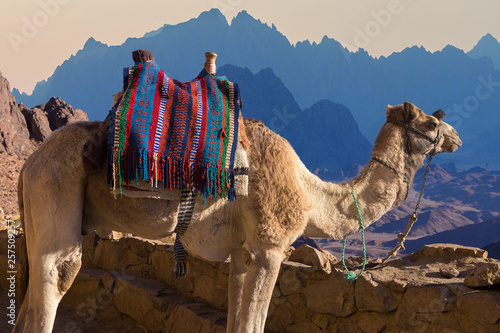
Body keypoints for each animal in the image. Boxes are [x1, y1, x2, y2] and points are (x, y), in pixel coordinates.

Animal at [13, 102, 460, 332]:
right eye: (431, 122)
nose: (456, 136)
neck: (309, 195)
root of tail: (30, 163)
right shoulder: (270, 247)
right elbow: (253, 322)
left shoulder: (243, 253)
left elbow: (236, 317)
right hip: (55, 193)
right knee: (58, 276)